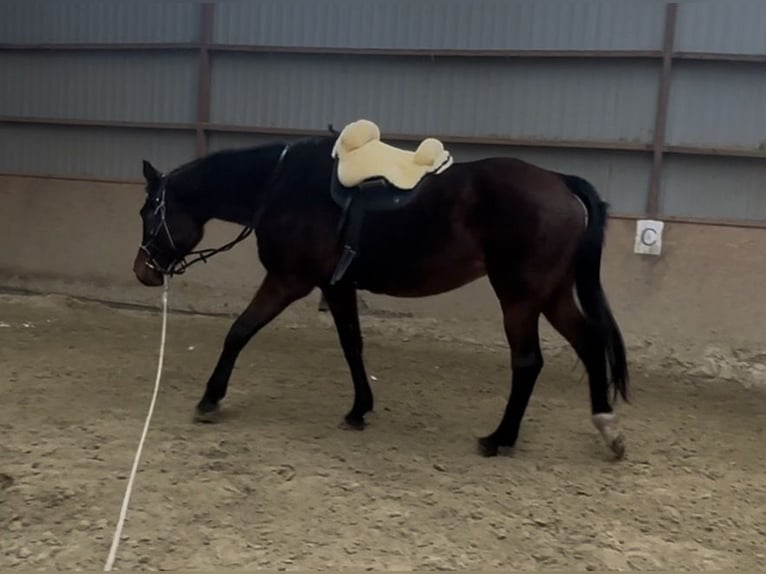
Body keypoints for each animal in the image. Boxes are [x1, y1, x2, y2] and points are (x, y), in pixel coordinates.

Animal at [132, 124, 629, 459]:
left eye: (149, 212)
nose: (143, 271)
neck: (282, 185)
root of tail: (561, 182)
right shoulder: (336, 286)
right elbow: (352, 345)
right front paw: (359, 410)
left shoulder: (288, 280)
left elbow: (238, 331)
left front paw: (210, 399)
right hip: (552, 294)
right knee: (589, 343)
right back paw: (606, 426)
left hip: (520, 299)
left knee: (527, 362)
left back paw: (500, 438)